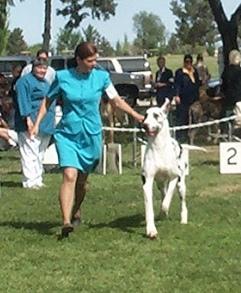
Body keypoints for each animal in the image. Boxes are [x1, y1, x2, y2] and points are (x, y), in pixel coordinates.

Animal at [141, 99, 205, 238]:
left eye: (156, 115)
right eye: (145, 116)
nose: (144, 125)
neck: (158, 147)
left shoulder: (174, 177)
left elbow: (167, 201)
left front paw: (164, 211)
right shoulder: (147, 183)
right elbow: (150, 208)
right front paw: (151, 230)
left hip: (181, 186)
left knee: (182, 203)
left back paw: (183, 218)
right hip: (159, 183)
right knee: (163, 192)